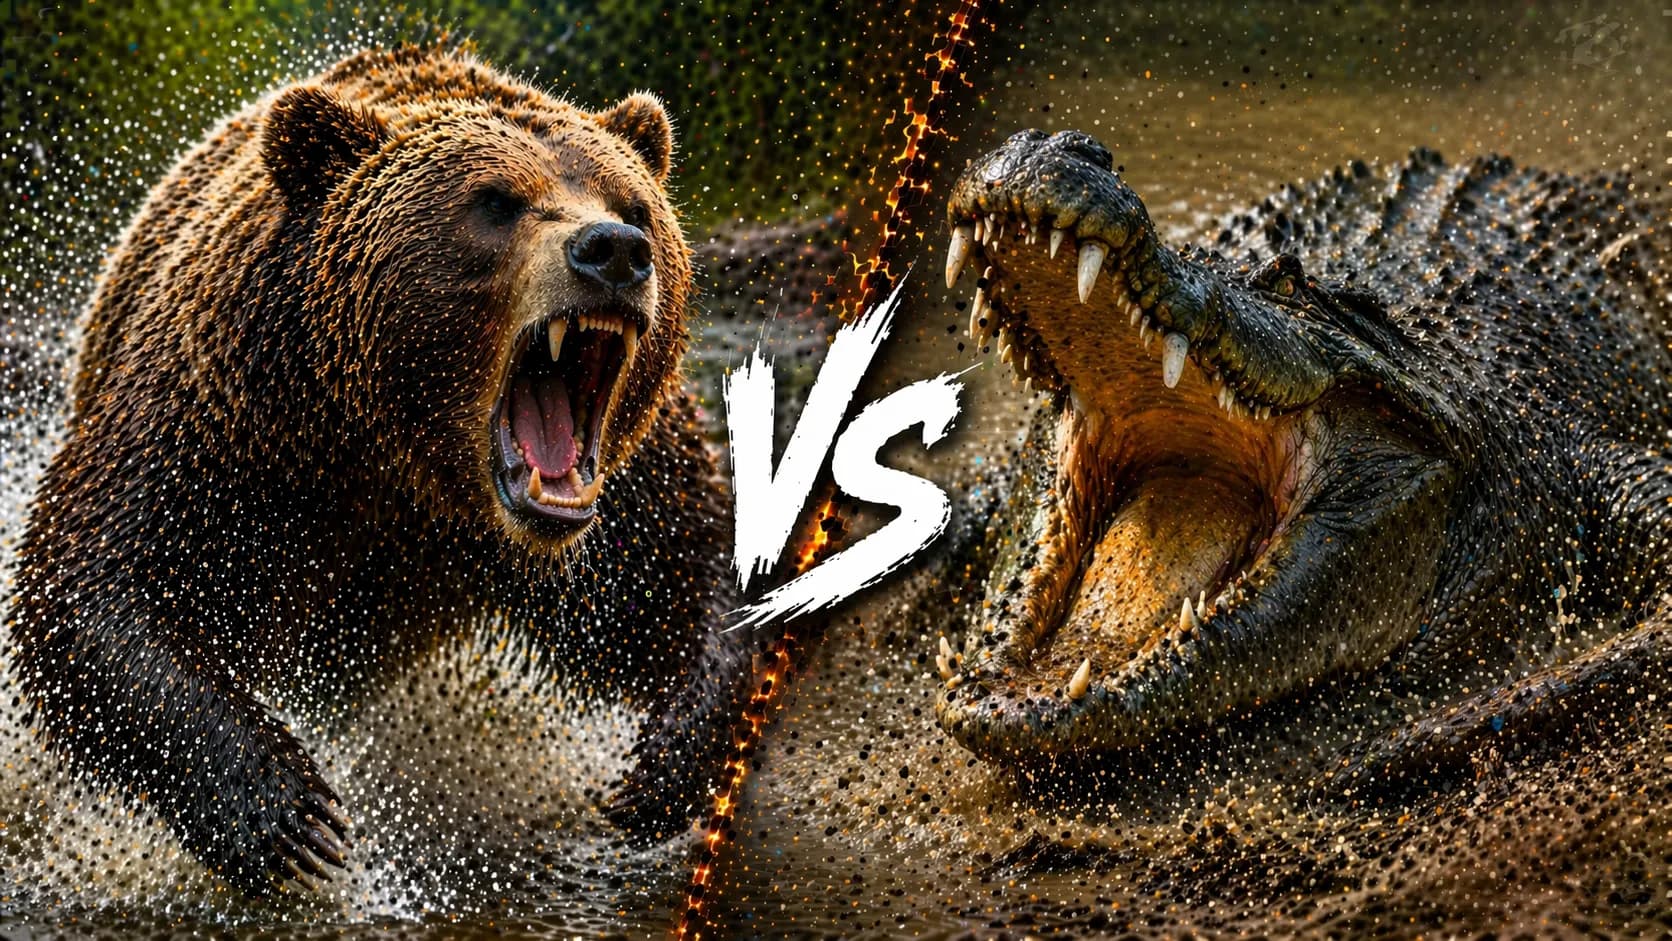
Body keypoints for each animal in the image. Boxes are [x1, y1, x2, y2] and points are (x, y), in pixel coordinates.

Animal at [5, 45, 755, 893]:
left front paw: (658, 769)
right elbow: (99, 587)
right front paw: (290, 815)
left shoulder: (631, 479)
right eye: (496, 202)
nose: (614, 251)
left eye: (634, 203)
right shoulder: (231, 415)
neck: (406, 463)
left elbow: (682, 572)